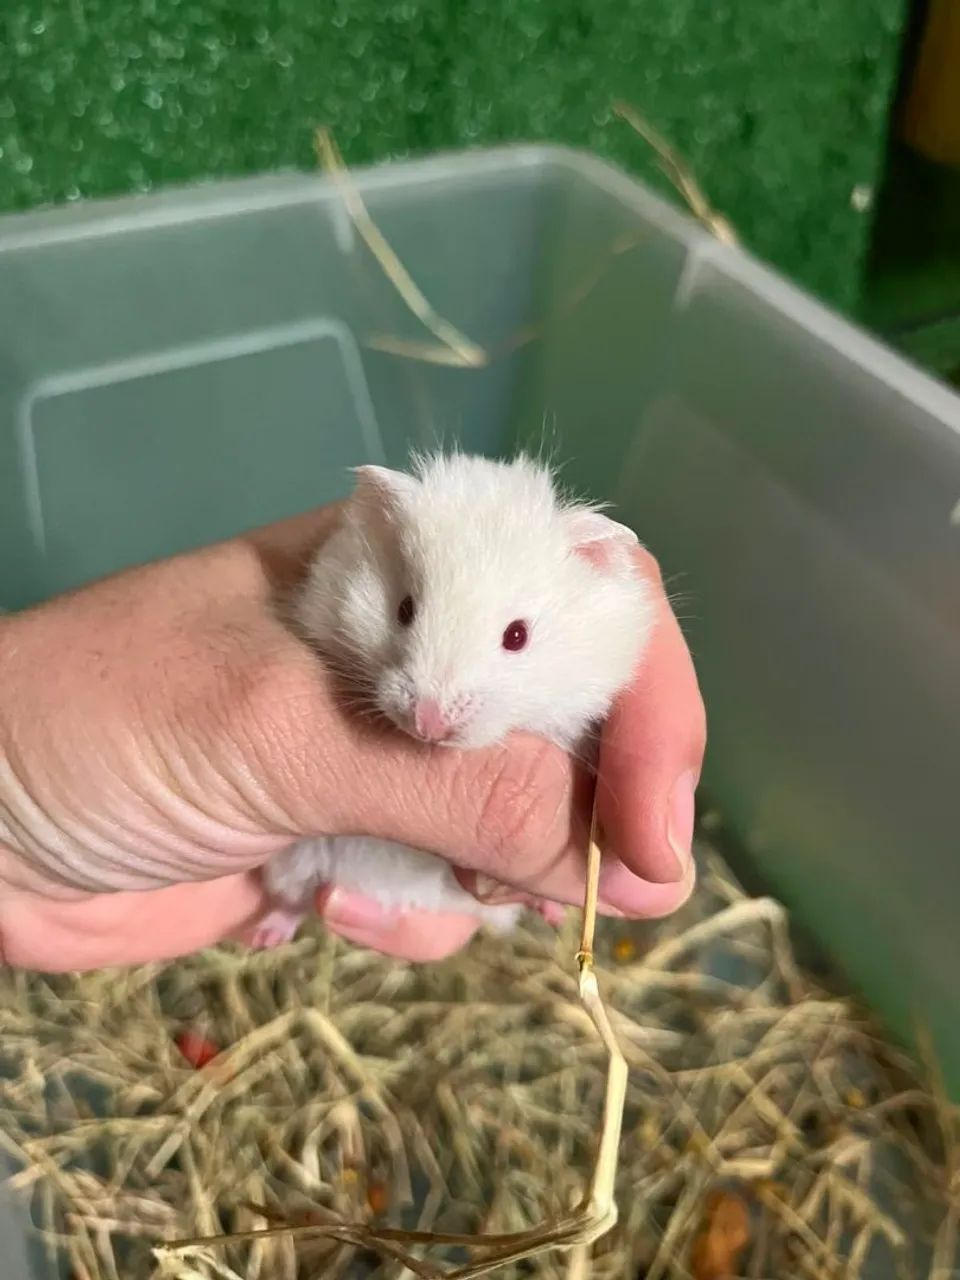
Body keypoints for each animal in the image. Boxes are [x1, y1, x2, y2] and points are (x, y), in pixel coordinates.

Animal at [252, 451, 655, 949]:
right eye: (404, 609)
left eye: (517, 636)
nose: (429, 725)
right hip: (292, 862)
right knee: (293, 902)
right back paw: (263, 938)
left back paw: (553, 912)